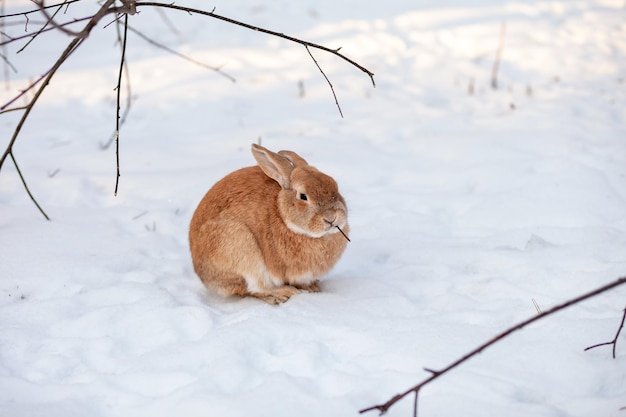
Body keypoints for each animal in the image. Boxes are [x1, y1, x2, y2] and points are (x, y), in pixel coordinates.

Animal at [188, 142, 348, 302]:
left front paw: (312, 287)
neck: (282, 215)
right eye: (303, 196)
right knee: (257, 287)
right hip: (241, 248)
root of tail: (203, 276)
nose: (331, 218)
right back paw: (285, 293)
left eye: (334, 186)